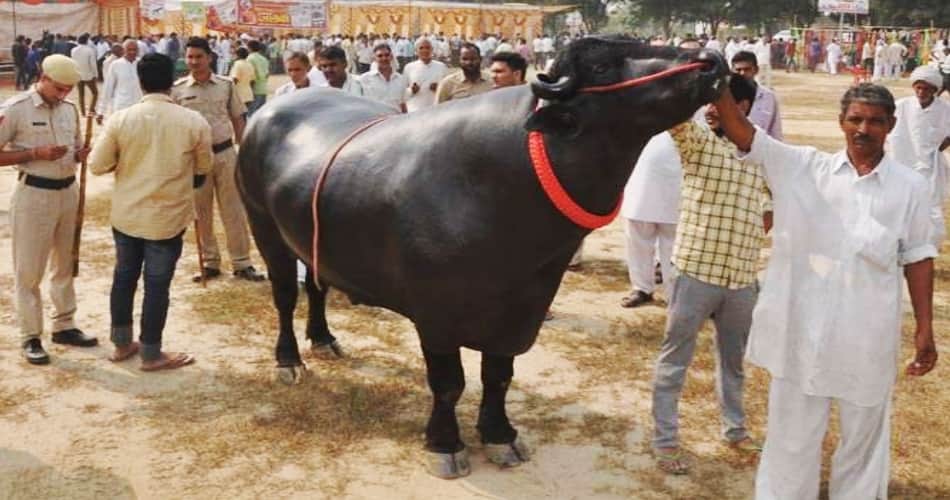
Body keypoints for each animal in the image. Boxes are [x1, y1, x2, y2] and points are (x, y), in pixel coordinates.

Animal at [236, 36, 728, 478]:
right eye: (604, 66)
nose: (711, 60)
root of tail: (267, 114)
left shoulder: (522, 309)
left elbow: (498, 375)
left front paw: (500, 435)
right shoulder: (435, 316)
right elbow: (449, 383)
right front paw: (445, 444)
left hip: (307, 236)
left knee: (317, 285)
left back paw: (323, 338)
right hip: (263, 225)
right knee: (285, 294)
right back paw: (289, 361)